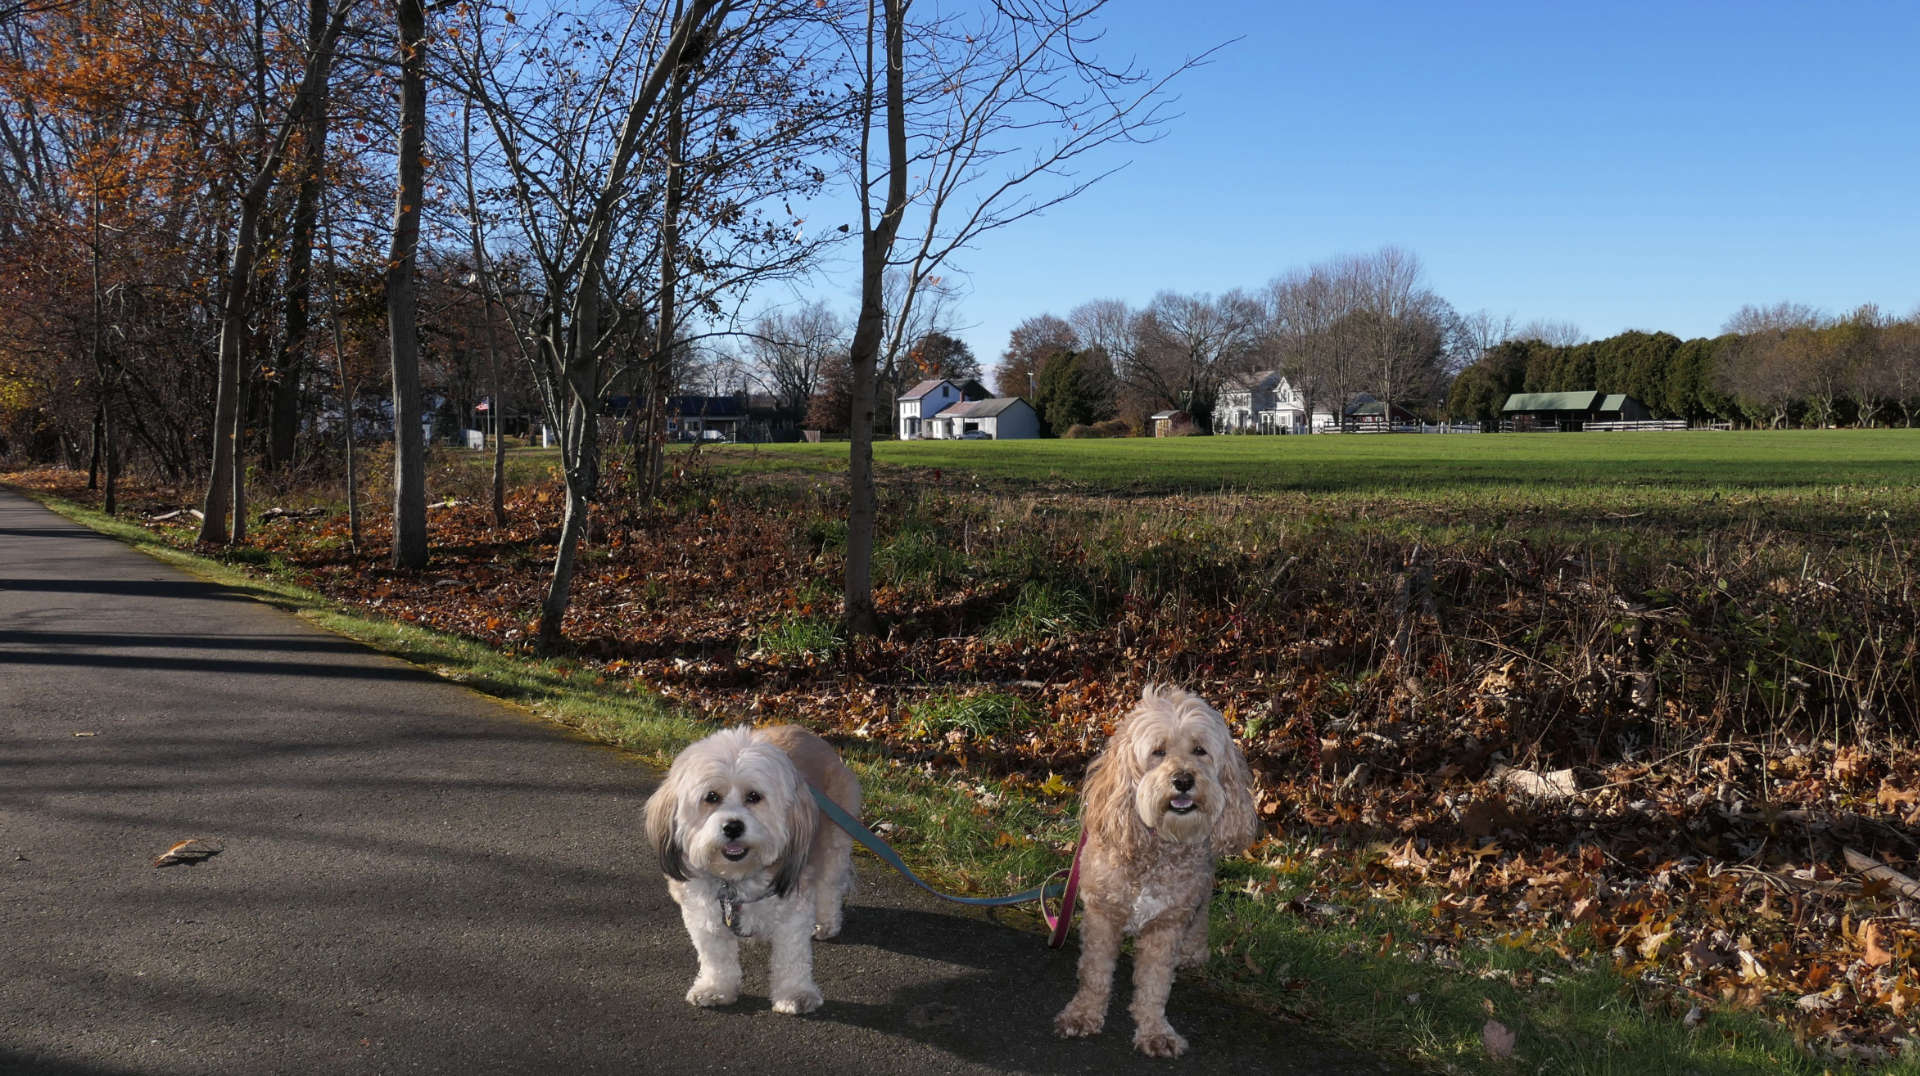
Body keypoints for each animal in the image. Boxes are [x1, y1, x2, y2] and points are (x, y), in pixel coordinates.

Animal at [641, 726, 860, 1014]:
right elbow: (715, 954)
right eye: (711, 797)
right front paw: (715, 988)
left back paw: (826, 922)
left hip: (836, 839)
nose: (733, 827)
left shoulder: (793, 911)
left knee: (829, 885)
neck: (738, 879)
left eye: (754, 797)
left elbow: (792, 957)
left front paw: (795, 993)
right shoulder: (702, 911)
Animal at [1052, 684, 1259, 1052]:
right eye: (1158, 752)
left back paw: (1193, 952)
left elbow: (1155, 984)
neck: (1158, 845)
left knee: (1201, 913)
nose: (1183, 780)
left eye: (1200, 750)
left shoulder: (1167, 924)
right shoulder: (1103, 914)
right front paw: (1083, 1014)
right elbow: (1094, 974)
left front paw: (1154, 1031)